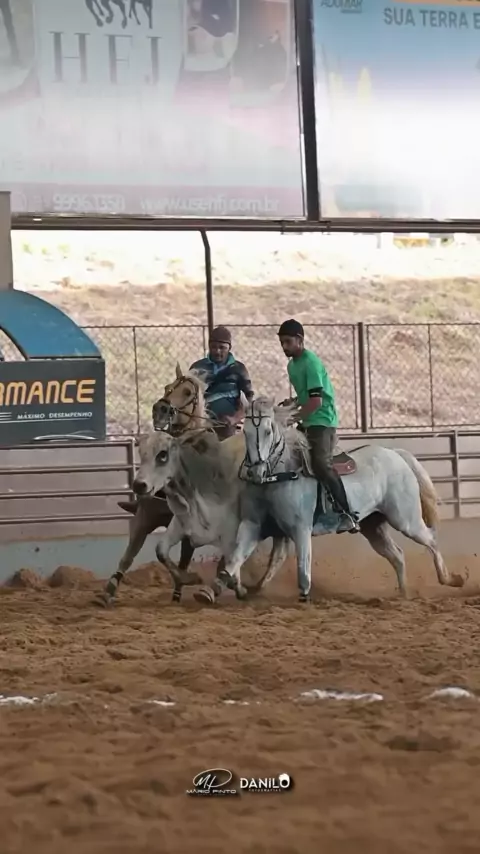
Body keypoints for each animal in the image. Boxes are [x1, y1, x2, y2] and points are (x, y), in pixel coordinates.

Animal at [95, 364, 218, 607]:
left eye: (187, 392)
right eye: (167, 387)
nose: (161, 409)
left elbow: (179, 559)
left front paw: (187, 581)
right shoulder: (145, 516)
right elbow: (129, 556)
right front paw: (109, 589)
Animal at [130, 426, 290, 603]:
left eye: (163, 455)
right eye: (141, 452)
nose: (139, 485)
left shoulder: (232, 532)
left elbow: (233, 559)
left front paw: (233, 589)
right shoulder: (182, 523)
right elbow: (161, 551)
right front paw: (190, 578)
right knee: (279, 554)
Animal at [199, 395, 465, 604]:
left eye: (268, 431)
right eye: (244, 431)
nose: (256, 471)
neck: (280, 475)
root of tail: (395, 454)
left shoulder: (300, 529)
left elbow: (302, 566)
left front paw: (304, 595)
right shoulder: (255, 526)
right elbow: (235, 558)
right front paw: (213, 589)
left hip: (406, 519)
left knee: (431, 540)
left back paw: (452, 579)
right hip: (373, 526)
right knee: (397, 555)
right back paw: (404, 593)